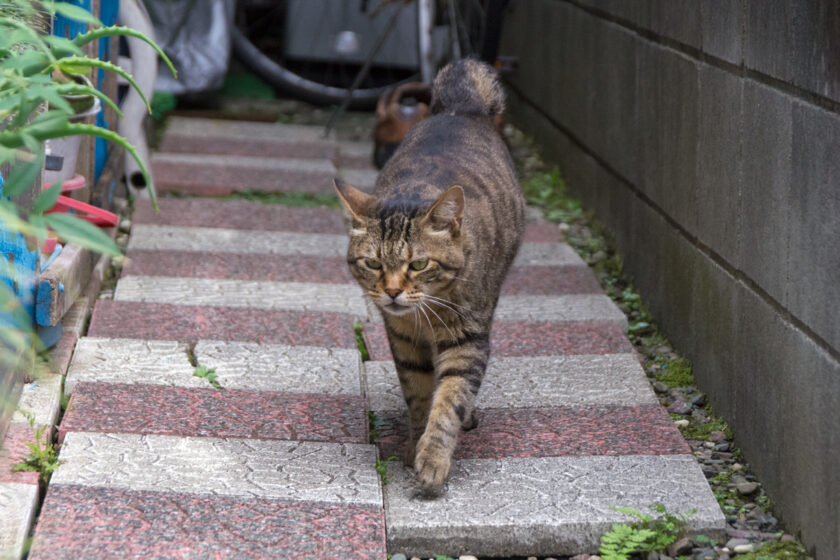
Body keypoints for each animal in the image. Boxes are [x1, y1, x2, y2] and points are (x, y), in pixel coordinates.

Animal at [334, 58, 524, 494]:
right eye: (373, 264)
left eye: (418, 264)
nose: (391, 292)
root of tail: (459, 108)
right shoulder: (403, 339)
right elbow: (419, 394)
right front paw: (413, 443)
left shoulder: (468, 337)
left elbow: (449, 399)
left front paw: (434, 457)